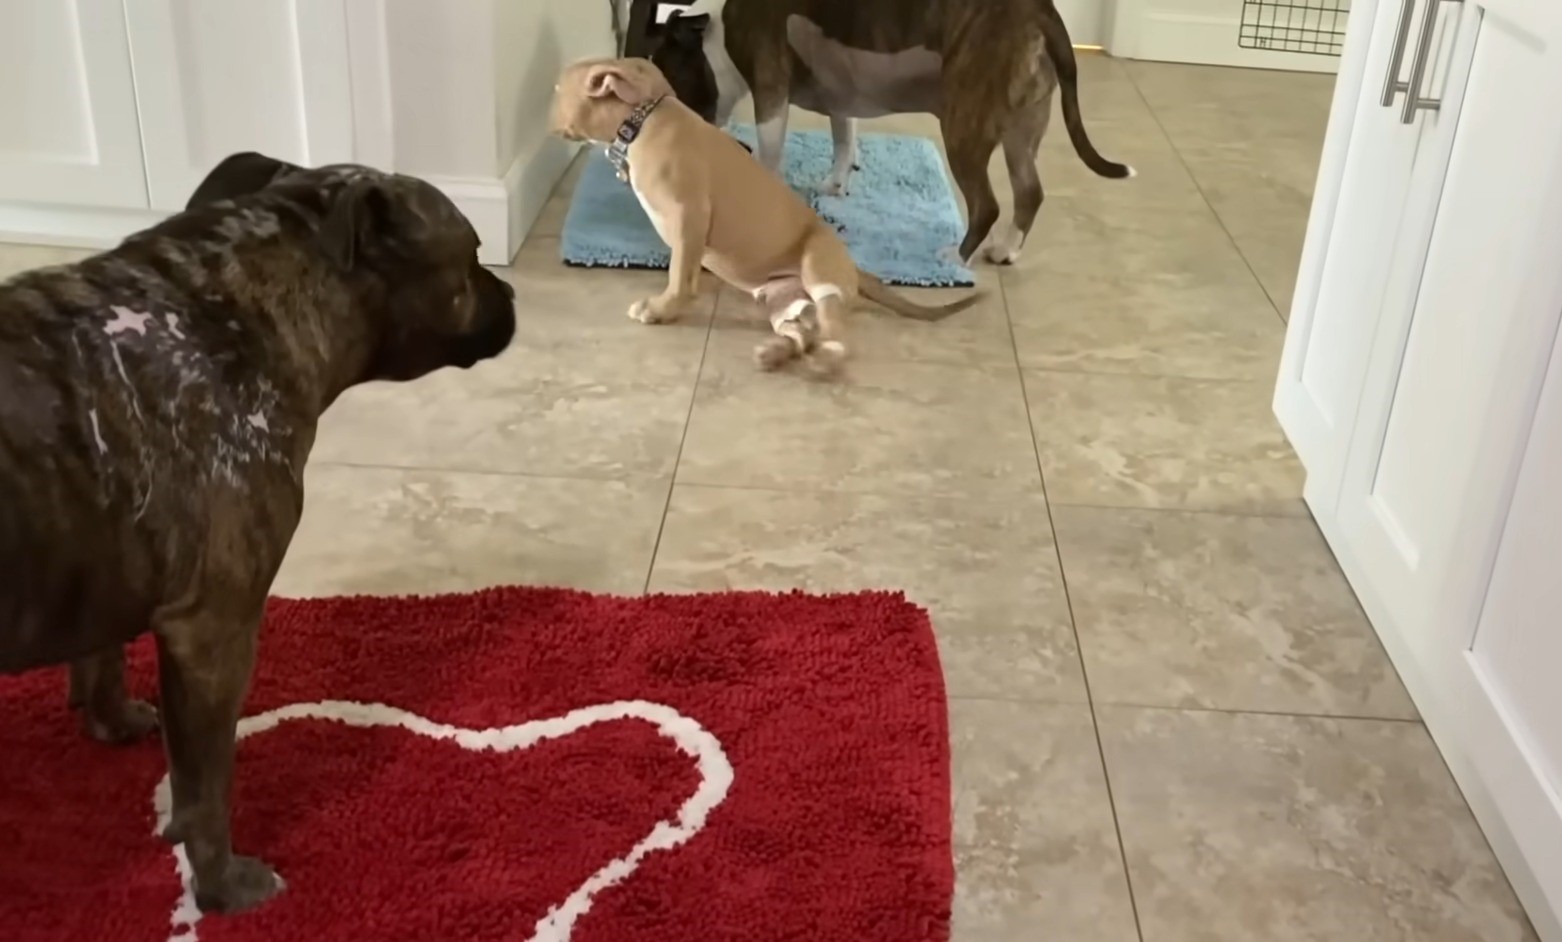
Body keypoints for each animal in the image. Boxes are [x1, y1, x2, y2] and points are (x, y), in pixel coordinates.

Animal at [0, 153, 518, 912]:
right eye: (474, 253)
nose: (510, 291)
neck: (235, 313)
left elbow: (101, 657)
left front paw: (111, 720)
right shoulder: (215, 633)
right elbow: (204, 792)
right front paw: (221, 886)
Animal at [543, 56, 968, 376]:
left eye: (558, 91)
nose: (547, 115)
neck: (642, 119)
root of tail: (854, 270)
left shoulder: (688, 215)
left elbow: (679, 274)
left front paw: (661, 308)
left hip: (818, 267)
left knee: (837, 334)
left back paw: (826, 358)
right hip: (783, 300)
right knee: (801, 332)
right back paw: (775, 352)